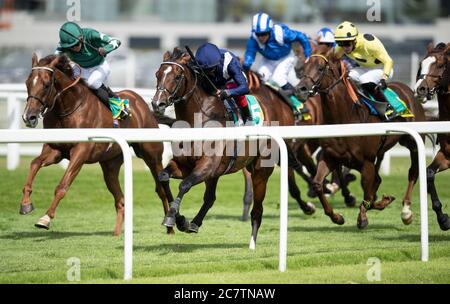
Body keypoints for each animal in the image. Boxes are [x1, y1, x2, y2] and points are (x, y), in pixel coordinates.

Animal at [19, 54, 171, 235]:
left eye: (46, 85)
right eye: (27, 83)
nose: (29, 117)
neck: (69, 108)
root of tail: (142, 104)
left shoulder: (80, 152)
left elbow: (62, 186)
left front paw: (45, 218)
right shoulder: (55, 150)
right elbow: (35, 163)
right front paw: (26, 203)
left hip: (152, 156)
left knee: (161, 189)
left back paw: (170, 227)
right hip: (110, 164)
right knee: (120, 199)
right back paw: (116, 233)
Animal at [151, 47, 312, 247]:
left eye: (177, 76)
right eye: (157, 74)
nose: (157, 103)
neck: (199, 118)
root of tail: (282, 103)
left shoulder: (207, 165)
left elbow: (185, 184)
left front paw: (174, 218)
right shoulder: (185, 165)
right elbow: (164, 177)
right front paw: (179, 219)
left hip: (261, 169)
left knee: (257, 209)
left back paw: (253, 242)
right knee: (210, 198)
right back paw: (195, 223)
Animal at [296, 45, 426, 228]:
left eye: (320, 68)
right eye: (302, 68)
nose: (300, 89)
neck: (345, 117)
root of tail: (408, 91)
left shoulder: (366, 162)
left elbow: (368, 191)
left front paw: (363, 217)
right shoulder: (331, 157)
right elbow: (317, 184)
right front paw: (337, 216)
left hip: (413, 142)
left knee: (413, 172)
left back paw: (406, 212)